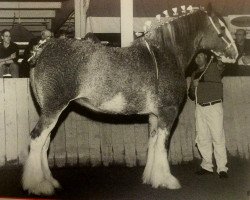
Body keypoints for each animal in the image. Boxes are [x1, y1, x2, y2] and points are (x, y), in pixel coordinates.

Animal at [22, 5, 238, 195]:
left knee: (44, 143)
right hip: (54, 109)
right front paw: (167, 181)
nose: (235, 54)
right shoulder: (168, 113)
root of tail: (43, 49)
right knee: (37, 139)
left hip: (50, 110)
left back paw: (49, 181)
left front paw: (152, 178)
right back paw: (38, 185)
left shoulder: (154, 116)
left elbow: (153, 144)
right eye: (221, 29)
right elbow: (163, 146)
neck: (166, 53)